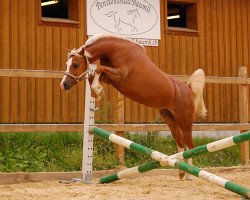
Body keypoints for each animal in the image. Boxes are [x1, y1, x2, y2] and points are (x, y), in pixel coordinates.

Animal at [59, 33, 206, 180]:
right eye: (67, 64)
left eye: (76, 64)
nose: (64, 84)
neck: (116, 50)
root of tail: (188, 88)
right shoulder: (111, 78)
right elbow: (95, 74)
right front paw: (98, 92)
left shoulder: (119, 75)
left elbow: (98, 70)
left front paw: (98, 92)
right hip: (169, 118)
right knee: (181, 143)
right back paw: (181, 173)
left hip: (184, 120)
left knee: (189, 145)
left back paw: (189, 175)